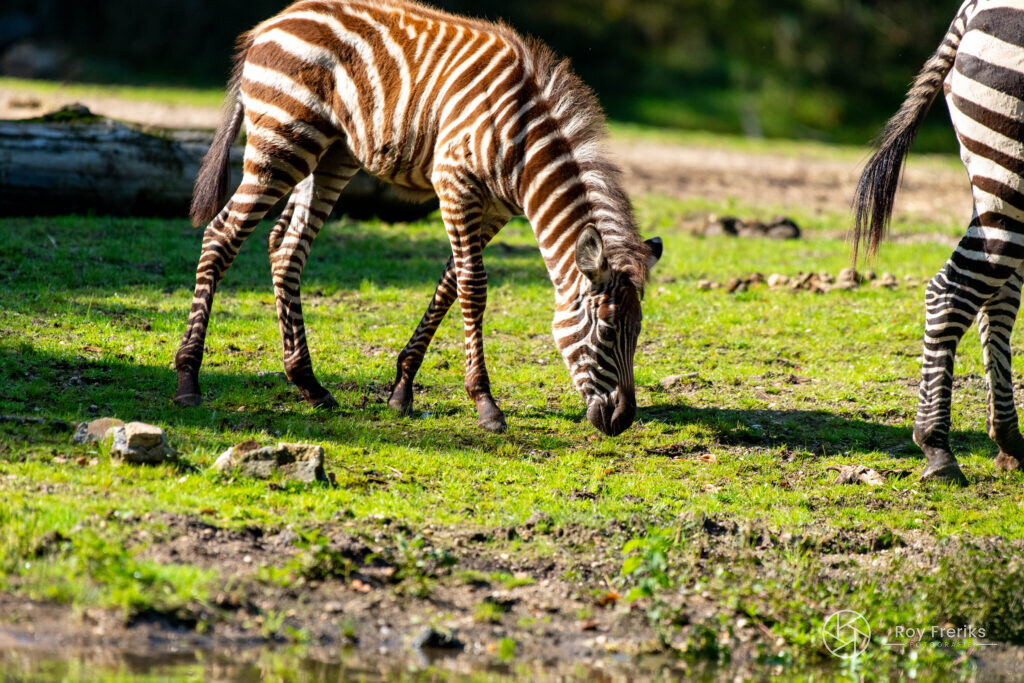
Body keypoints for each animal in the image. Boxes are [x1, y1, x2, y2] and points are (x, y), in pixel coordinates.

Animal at [173, 0, 663, 437]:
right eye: (606, 331)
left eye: (638, 332)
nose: (623, 421)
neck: (524, 146)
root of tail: (270, 23)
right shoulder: (455, 184)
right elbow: (473, 287)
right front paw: (485, 403)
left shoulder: (493, 209)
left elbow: (449, 284)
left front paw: (402, 388)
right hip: (282, 142)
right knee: (221, 236)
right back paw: (188, 380)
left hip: (331, 155)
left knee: (286, 248)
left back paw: (309, 385)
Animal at [853, 0, 1024, 485]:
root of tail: (973, 8)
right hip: (1012, 170)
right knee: (953, 293)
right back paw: (938, 449)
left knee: (995, 297)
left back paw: (1009, 442)